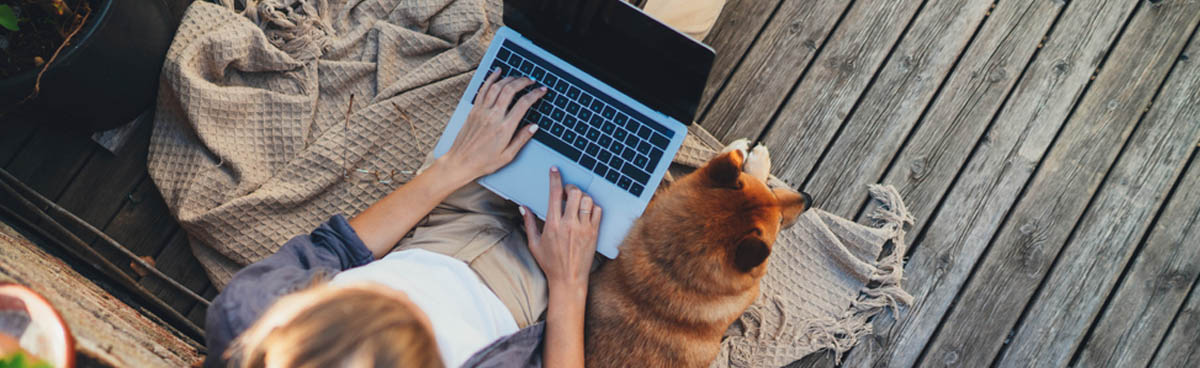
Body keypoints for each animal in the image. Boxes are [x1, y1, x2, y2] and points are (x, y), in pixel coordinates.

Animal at [583, 139, 811, 366]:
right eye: (779, 220)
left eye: (771, 190)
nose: (808, 199)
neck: (671, 272)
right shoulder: (751, 292)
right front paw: (755, 160)